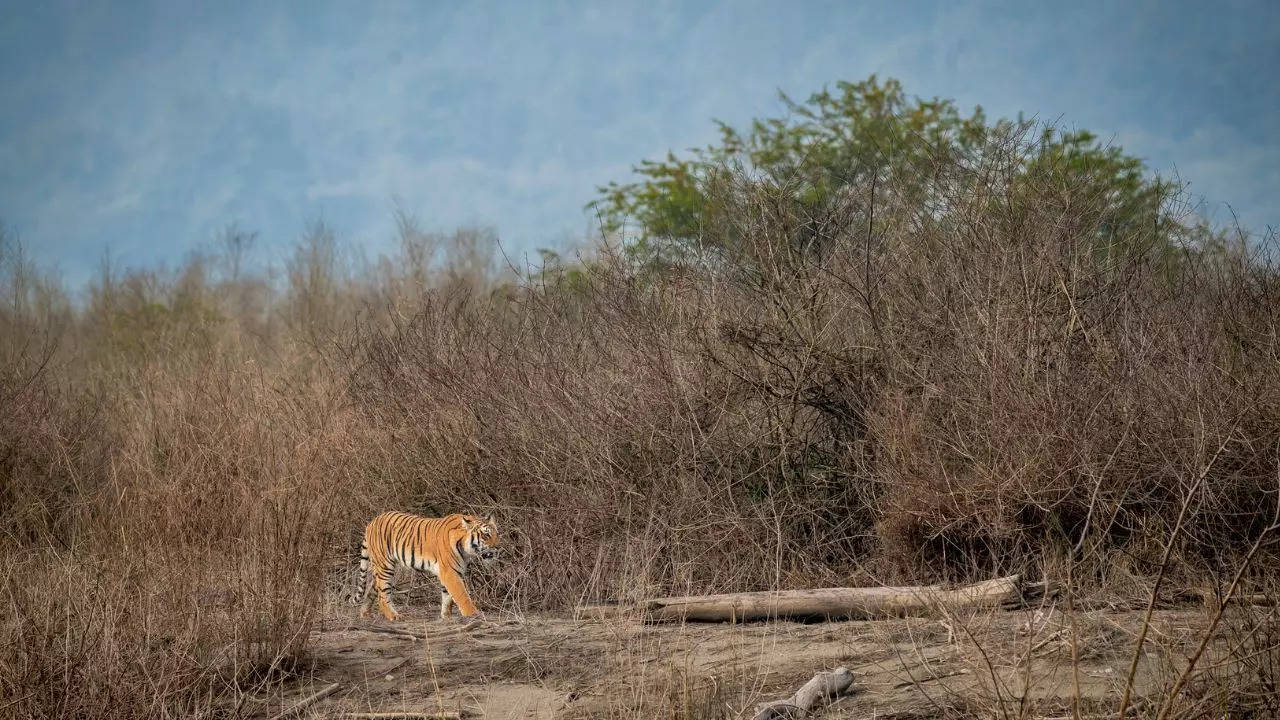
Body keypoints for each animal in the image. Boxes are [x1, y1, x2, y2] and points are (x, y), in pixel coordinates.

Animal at [360, 507, 504, 620]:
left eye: (497, 534)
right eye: (486, 535)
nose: (498, 548)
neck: (465, 548)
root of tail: (371, 522)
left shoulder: (452, 571)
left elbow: (447, 596)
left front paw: (446, 616)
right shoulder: (449, 572)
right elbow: (461, 595)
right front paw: (473, 615)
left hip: (380, 569)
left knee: (372, 589)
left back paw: (365, 613)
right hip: (385, 566)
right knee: (382, 595)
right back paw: (394, 616)